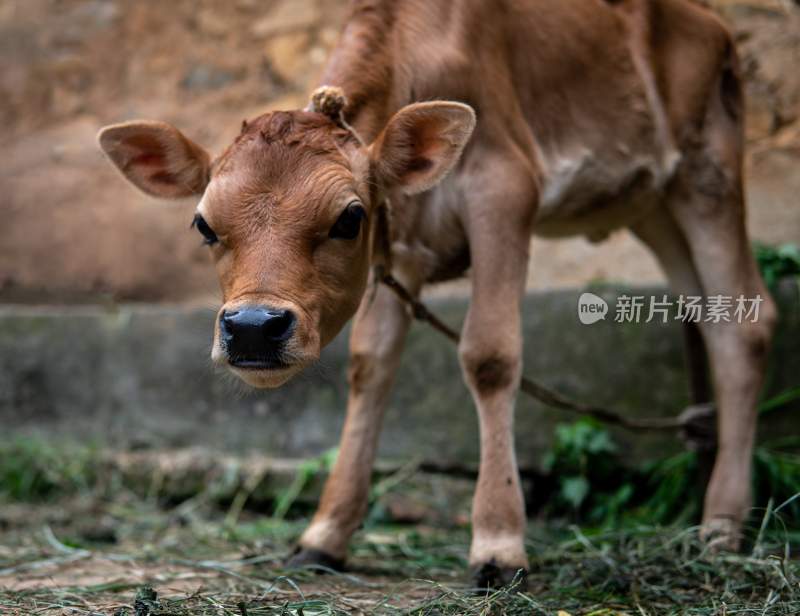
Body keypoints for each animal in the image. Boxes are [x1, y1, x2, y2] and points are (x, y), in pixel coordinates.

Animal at [98, 0, 776, 588]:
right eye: (203, 224)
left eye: (348, 218)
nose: (253, 327)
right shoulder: (399, 242)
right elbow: (370, 366)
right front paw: (324, 534)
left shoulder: (504, 189)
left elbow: (490, 356)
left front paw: (499, 544)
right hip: (652, 205)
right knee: (703, 311)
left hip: (708, 173)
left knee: (745, 324)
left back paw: (721, 525)